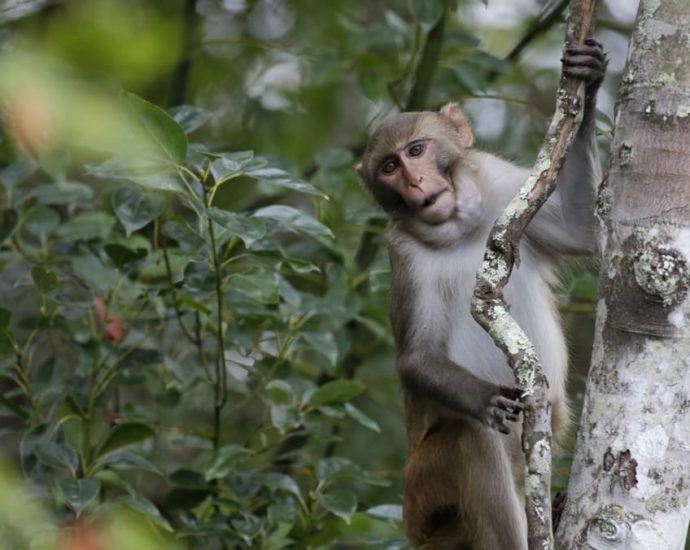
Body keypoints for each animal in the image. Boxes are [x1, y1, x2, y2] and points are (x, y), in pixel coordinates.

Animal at [358, 40, 604, 550]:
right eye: (389, 167)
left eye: (416, 150)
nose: (415, 182)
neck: (460, 229)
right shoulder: (404, 254)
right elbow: (417, 357)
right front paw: (486, 398)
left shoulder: (504, 185)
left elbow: (584, 230)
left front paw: (589, 83)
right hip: (425, 492)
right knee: (471, 440)